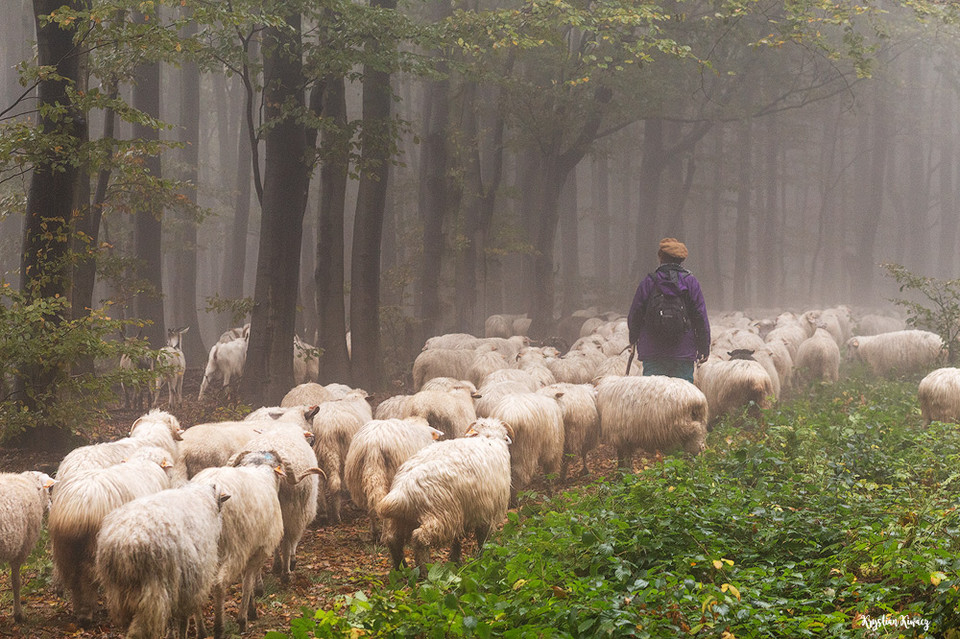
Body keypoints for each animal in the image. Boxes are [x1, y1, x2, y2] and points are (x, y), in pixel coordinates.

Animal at [50, 444, 176, 624]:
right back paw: (87, 612)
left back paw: (79, 609)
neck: (145, 462)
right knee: (87, 575)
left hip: (65, 548)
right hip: (93, 544)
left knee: (73, 576)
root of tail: (77, 507)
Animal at [94, 482, 231, 636]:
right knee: (138, 631)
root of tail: (124, 543)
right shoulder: (190, 583)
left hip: (119, 594)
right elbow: (183, 620)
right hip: (154, 592)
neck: (203, 499)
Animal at [376, 418, 512, 572]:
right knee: (419, 539)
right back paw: (424, 571)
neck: (488, 437)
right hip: (441, 516)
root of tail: (401, 492)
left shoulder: (464, 512)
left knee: (393, 539)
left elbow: (457, 539)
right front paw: (484, 559)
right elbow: (484, 540)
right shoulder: (486, 512)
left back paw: (401, 570)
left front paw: (455, 561)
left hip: (399, 519)